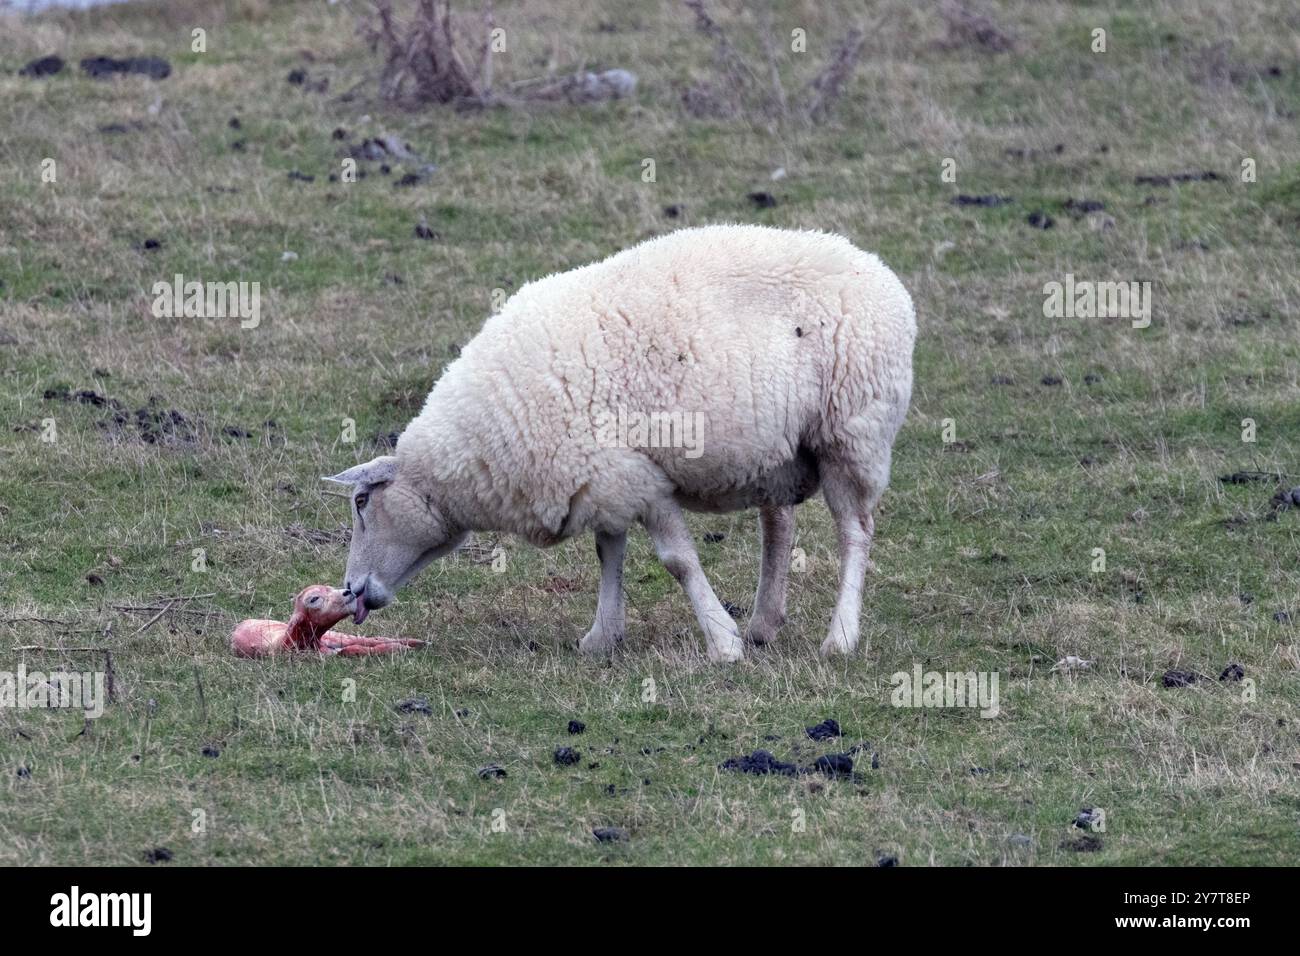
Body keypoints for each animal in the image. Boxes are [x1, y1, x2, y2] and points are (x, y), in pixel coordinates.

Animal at [324, 224, 915, 660]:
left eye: (362, 502)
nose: (350, 592)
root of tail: (881, 273)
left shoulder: (637, 475)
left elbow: (677, 561)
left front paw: (720, 644)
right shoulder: (601, 481)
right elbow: (608, 552)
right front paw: (602, 635)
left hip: (851, 430)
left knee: (855, 533)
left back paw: (839, 637)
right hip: (779, 449)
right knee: (780, 526)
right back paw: (764, 624)